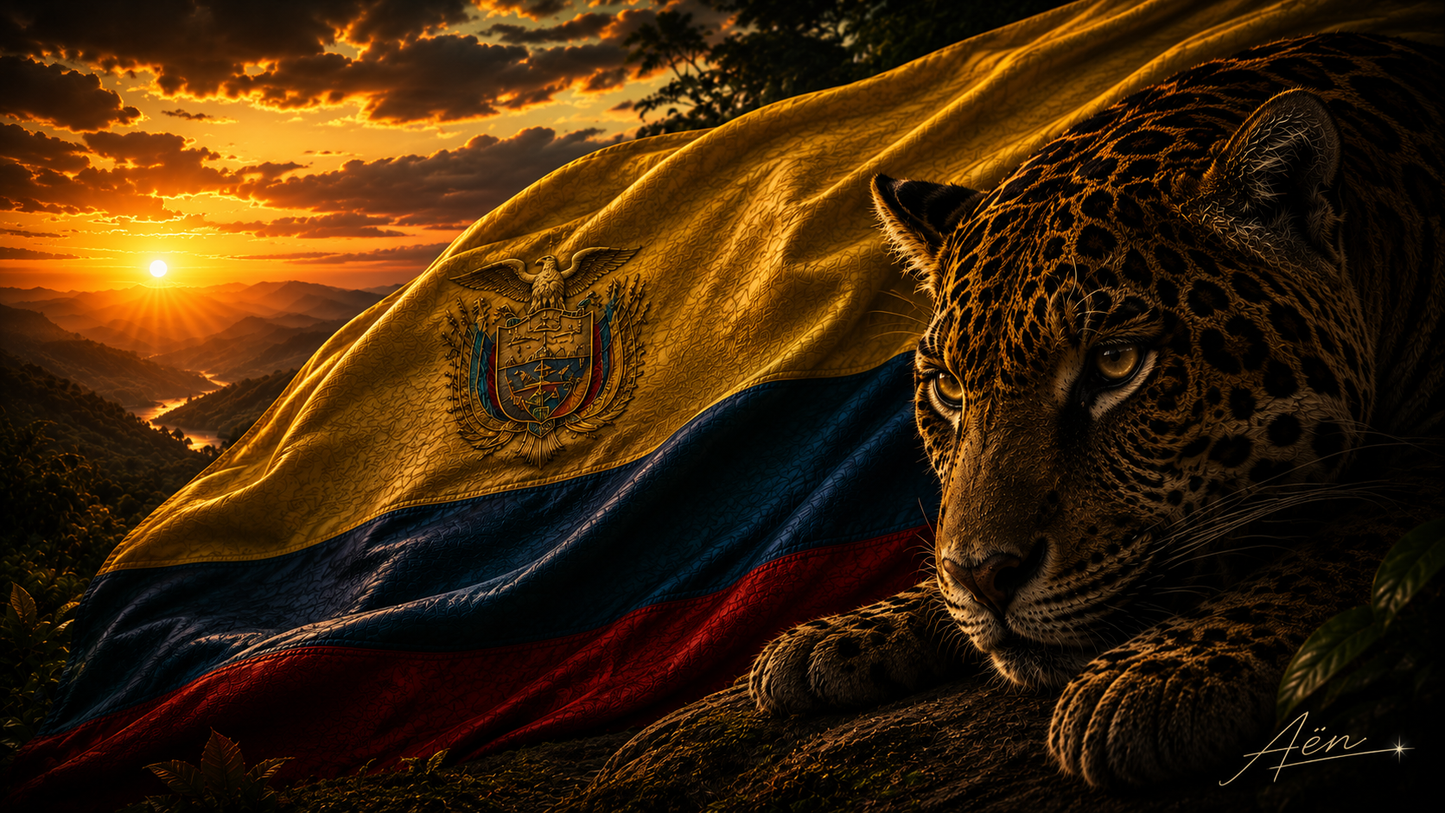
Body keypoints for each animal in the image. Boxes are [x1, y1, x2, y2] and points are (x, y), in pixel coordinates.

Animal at [749, 33, 1443, 787]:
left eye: (1115, 364)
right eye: (949, 390)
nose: (984, 579)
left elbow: (1345, 535)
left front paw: (1150, 675)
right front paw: (837, 633)